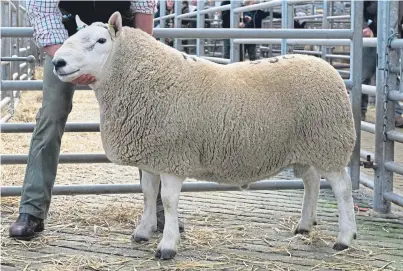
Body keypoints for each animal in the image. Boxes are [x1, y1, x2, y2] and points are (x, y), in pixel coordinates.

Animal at [52, 12, 358, 262]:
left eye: (101, 40)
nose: (57, 62)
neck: (142, 78)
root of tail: (326, 67)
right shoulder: (152, 156)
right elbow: (149, 193)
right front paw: (142, 231)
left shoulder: (174, 156)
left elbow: (169, 201)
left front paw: (167, 246)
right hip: (305, 146)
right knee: (311, 181)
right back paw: (305, 225)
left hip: (329, 142)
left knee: (342, 188)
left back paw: (344, 238)